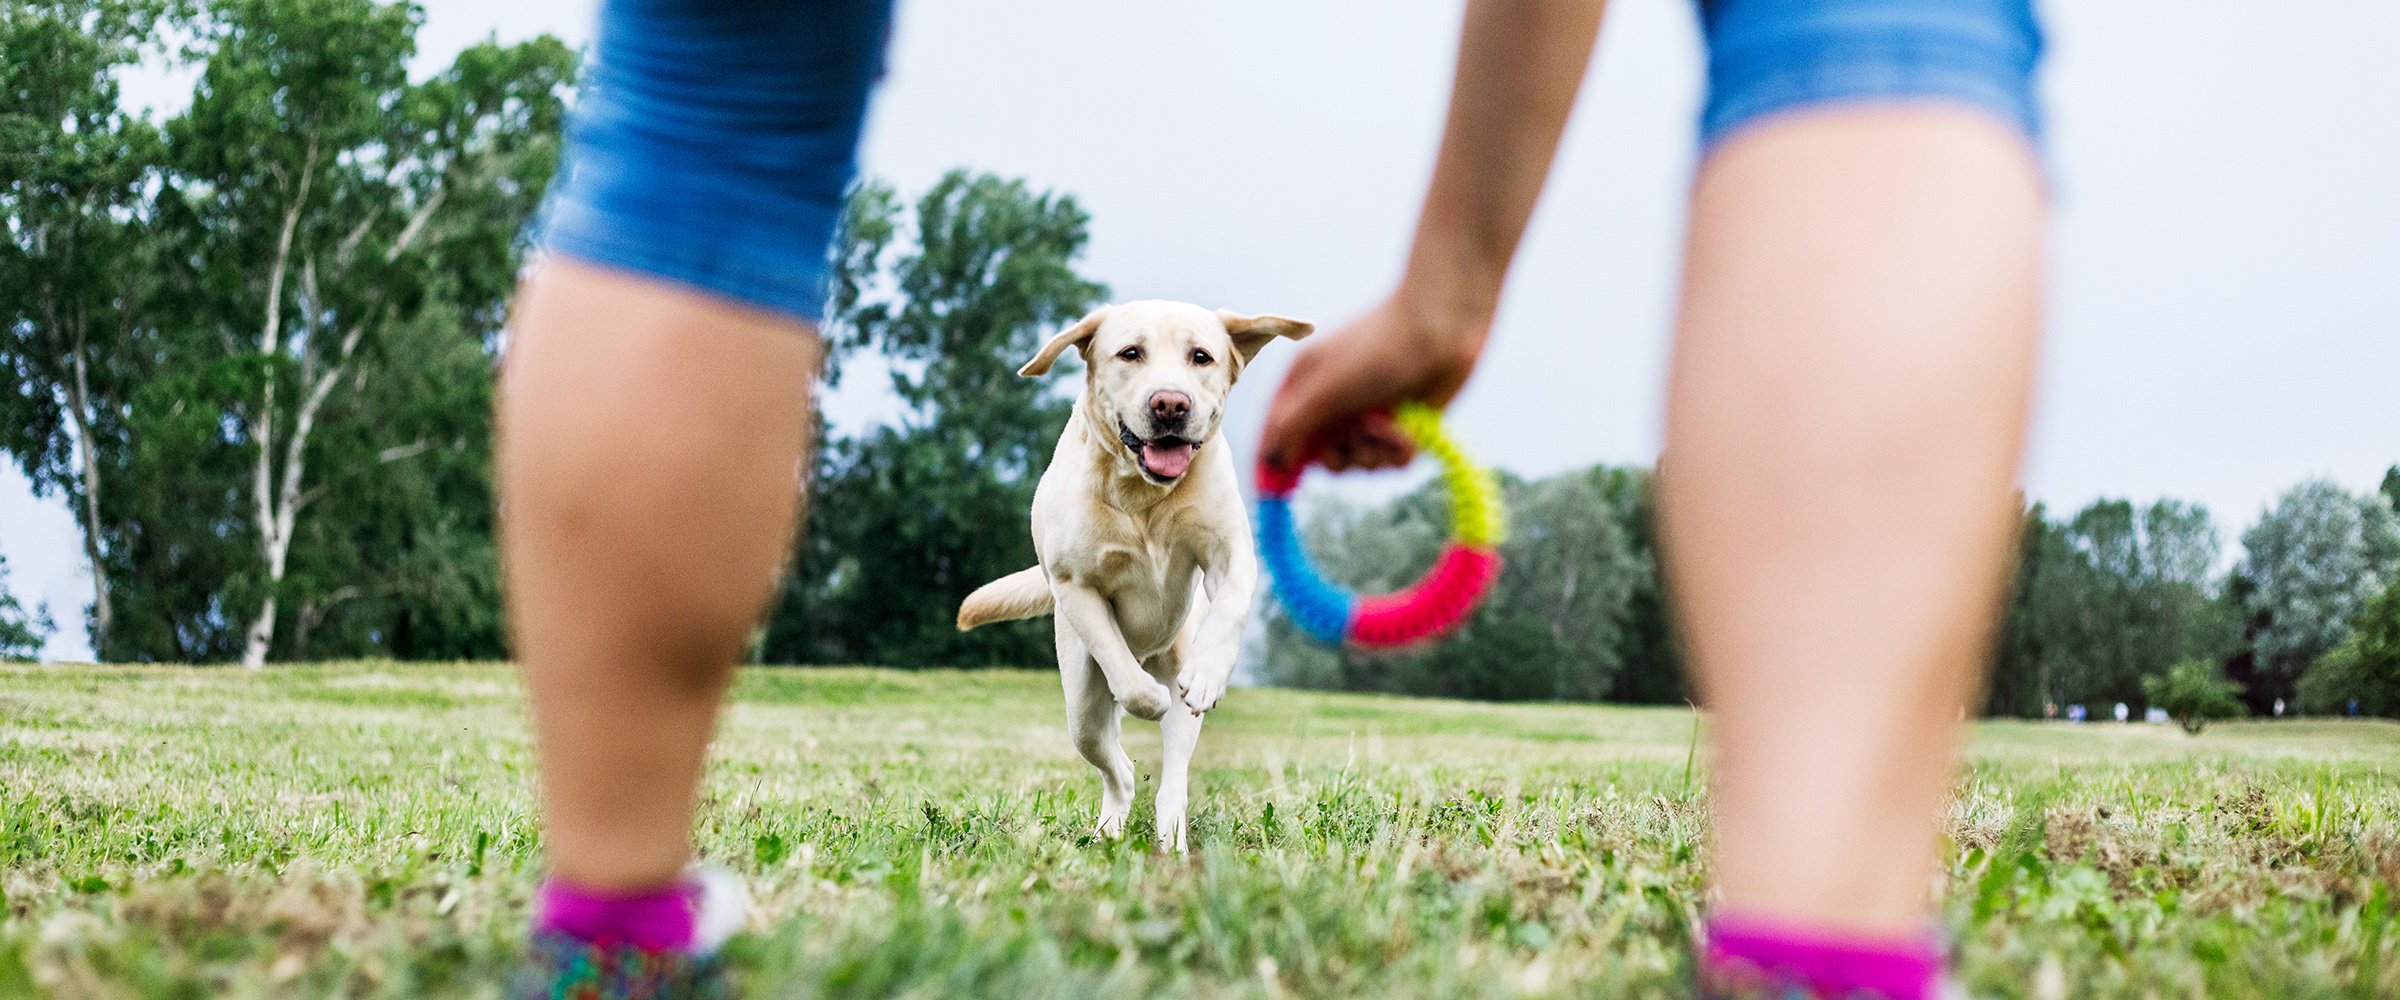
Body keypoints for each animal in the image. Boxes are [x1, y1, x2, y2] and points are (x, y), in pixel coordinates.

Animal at [955, 298, 1315, 848]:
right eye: (1130, 353)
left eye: (1201, 356)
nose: (1170, 403)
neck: (1143, 494)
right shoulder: (1075, 585)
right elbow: (1120, 665)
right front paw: (1148, 699)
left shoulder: (1230, 552)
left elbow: (1230, 607)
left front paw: (1209, 673)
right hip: (1081, 708)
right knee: (1118, 765)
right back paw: (1111, 824)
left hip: (1177, 682)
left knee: (1173, 779)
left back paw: (1173, 837)